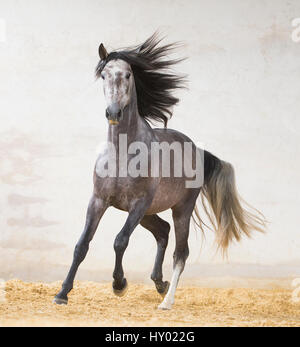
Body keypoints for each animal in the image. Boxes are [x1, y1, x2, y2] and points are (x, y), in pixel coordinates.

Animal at [54, 33, 264, 310]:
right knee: (163, 232)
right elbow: (81, 245)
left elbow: (120, 241)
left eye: (128, 75)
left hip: (180, 209)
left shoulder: (139, 204)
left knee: (180, 252)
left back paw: (166, 300)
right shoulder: (98, 201)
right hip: (149, 214)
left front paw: (119, 285)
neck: (122, 154)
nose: (113, 112)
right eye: (104, 75)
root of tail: (197, 149)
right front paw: (62, 293)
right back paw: (159, 282)